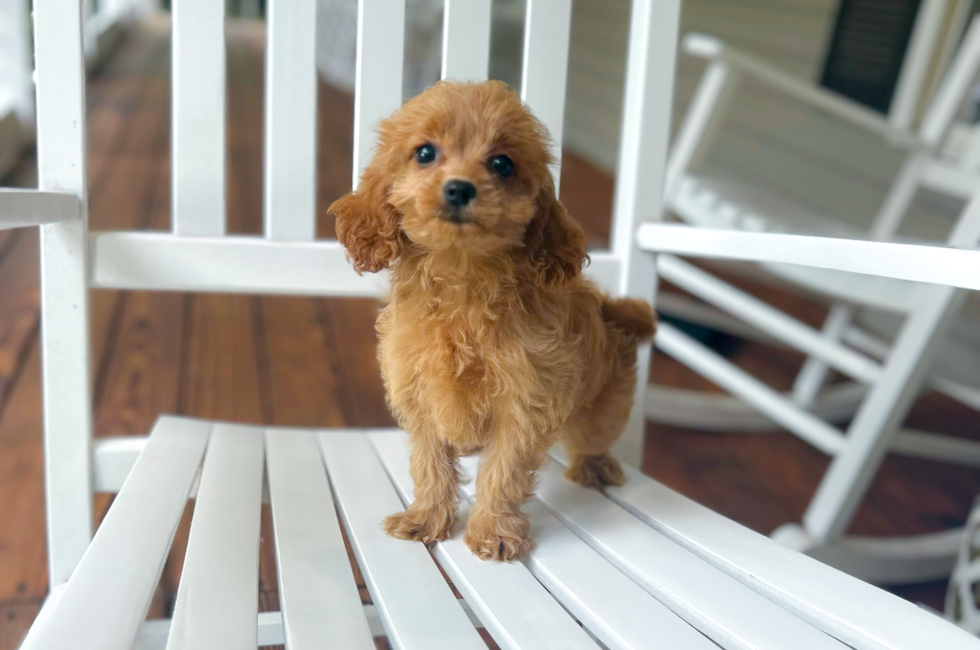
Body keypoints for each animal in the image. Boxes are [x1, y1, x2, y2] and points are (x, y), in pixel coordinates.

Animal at [332, 79, 660, 556]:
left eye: (503, 164)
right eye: (425, 153)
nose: (459, 189)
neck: (462, 274)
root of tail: (609, 308)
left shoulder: (524, 401)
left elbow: (504, 472)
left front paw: (494, 533)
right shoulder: (419, 392)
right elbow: (430, 464)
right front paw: (425, 518)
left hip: (605, 402)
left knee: (594, 436)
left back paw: (594, 466)